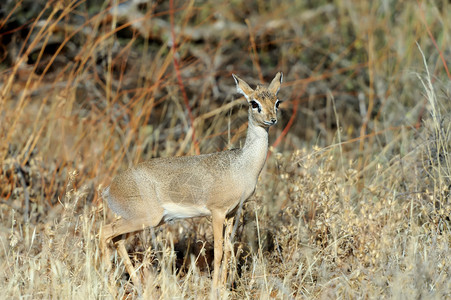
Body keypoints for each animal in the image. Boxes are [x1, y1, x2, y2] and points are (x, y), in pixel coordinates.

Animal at [100, 72, 282, 290]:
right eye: (254, 103)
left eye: (277, 101)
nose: (272, 119)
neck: (242, 166)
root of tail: (110, 188)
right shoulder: (217, 212)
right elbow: (218, 251)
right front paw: (215, 289)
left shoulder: (231, 214)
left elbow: (228, 250)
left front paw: (224, 287)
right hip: (144, 219)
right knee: (104, 231)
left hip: (143, 221)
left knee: (116, 239)